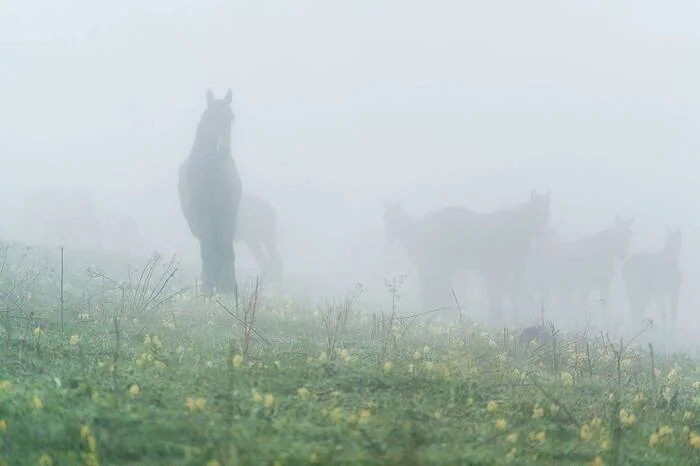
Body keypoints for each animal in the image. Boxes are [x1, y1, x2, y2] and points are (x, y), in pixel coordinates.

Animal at [178, 88, 243, 294]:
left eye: (231, 119)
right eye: (212, 117)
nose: (225, 148)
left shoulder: (228, 214)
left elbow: (227, 248)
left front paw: (230, 286)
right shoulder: (200, 216)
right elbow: (207, 248)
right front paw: (208, 286)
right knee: (207, 248)